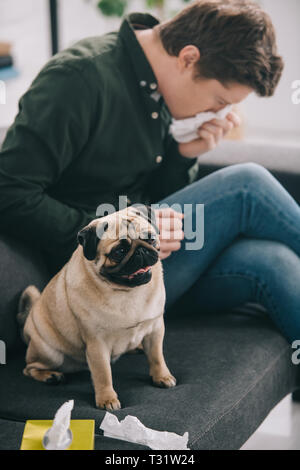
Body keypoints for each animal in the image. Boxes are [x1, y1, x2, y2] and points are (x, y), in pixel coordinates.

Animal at [17, 205, 176, 408]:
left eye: (150, 239)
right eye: (119, 251)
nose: (141, 251)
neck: (127, 292)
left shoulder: (155, 329)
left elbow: (156, 357)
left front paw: (162, 376)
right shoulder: (97, 345)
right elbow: (103, 374)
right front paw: (107, 399)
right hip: (49, 353)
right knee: (29, 368)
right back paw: (50, 376)